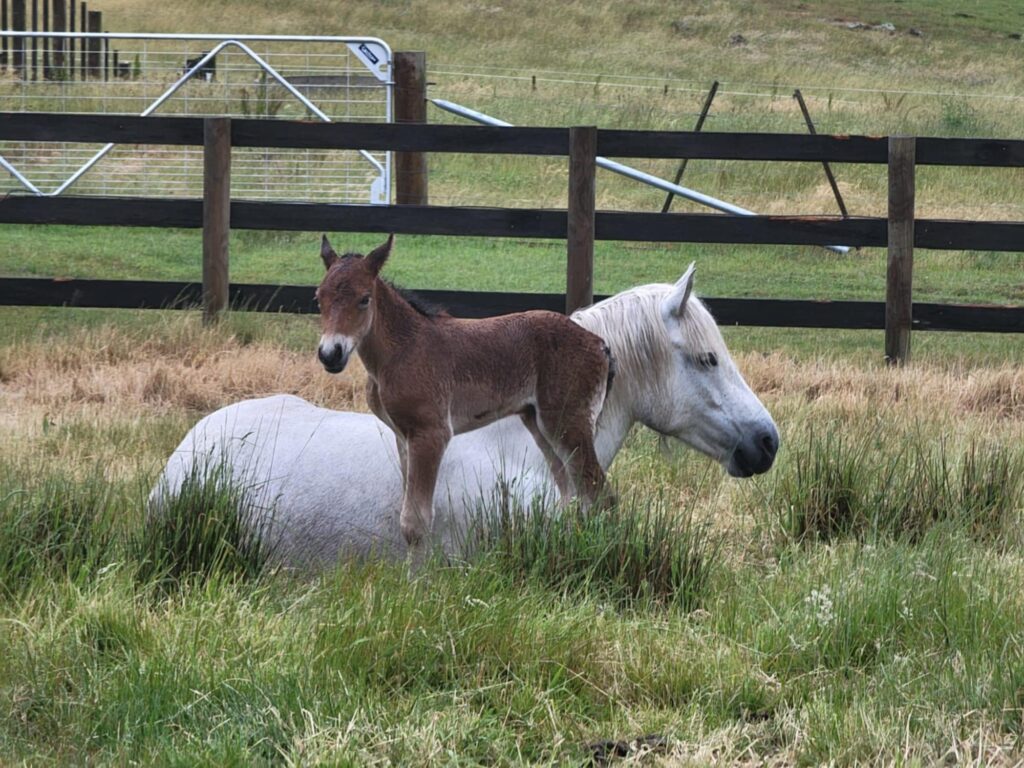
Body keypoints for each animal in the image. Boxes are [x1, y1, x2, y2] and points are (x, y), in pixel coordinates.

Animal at [315, 234, 610, 565]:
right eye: (318, 298)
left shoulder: (431, 433)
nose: (330, 354)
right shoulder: (403, 436)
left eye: (364, 299)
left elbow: (416, 521)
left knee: (599, 493)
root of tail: (598, 343)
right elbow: (406, 513)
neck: (403, 348)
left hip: (568, 421)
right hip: (539, 424)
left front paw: (419, 576)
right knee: (572, 493)